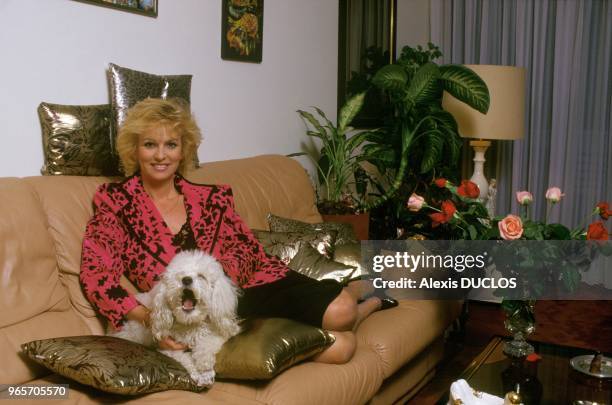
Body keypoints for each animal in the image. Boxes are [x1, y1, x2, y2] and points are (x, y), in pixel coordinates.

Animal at [111, 249, 240, 386]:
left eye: (201, 276)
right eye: (180, 275)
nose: (186, 280)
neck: (190, 323)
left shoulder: (215, 332)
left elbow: (207, 343)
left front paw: (204, 364)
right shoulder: (169, 347)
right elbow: (185, 358)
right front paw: (198, 373)